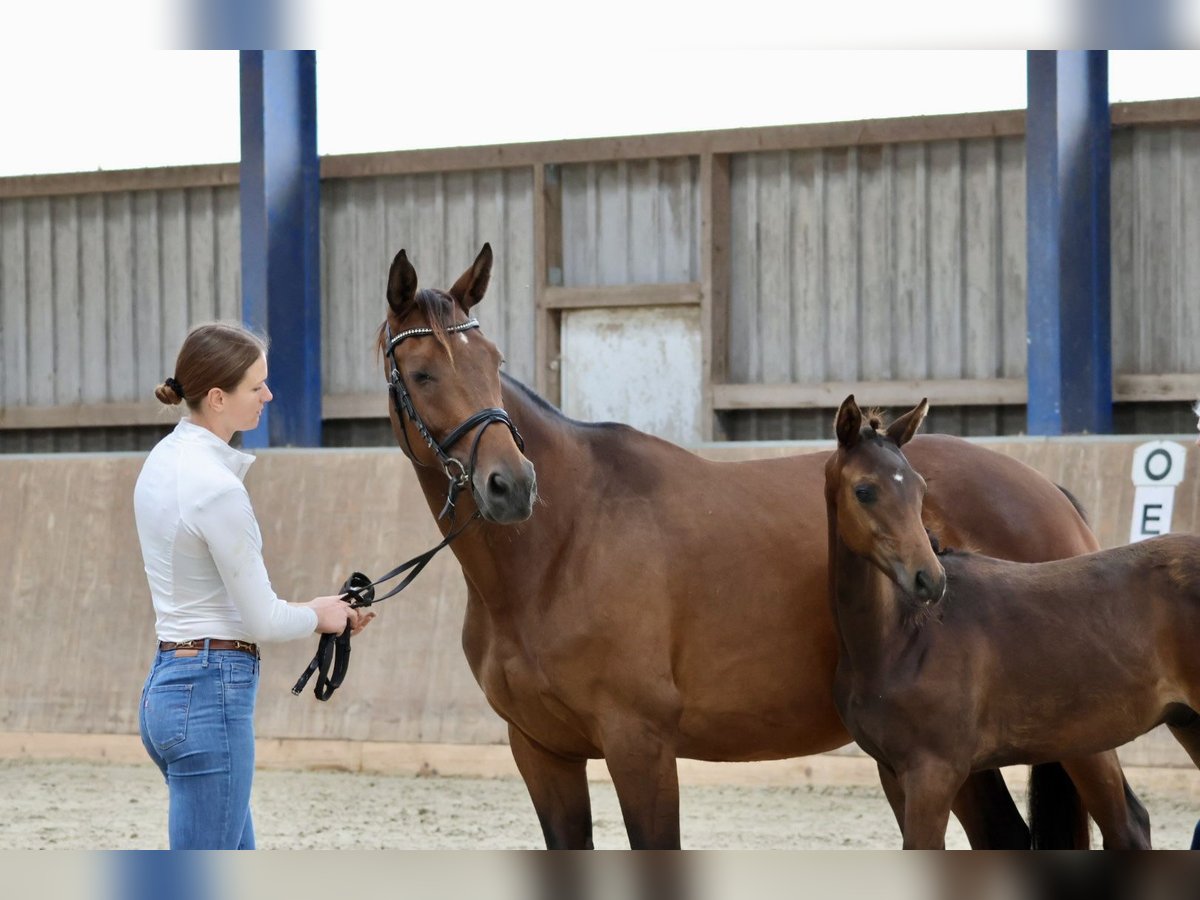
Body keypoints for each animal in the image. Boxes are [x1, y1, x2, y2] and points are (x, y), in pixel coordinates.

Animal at [379, 243, 1147, 849]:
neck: (560, 546)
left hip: (1075, 738)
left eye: (492, 362)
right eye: (421, 373)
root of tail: (1052, 492)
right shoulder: (542, 754)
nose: (510, 484)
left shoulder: (639, 745)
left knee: (1127, 825)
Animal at [825, 393, 1200, 844]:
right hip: (1181, 724)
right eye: (864, 490)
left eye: (920, 488)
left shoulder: (934, 774)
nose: (929, 579)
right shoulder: (893, 773)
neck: (902, 637)